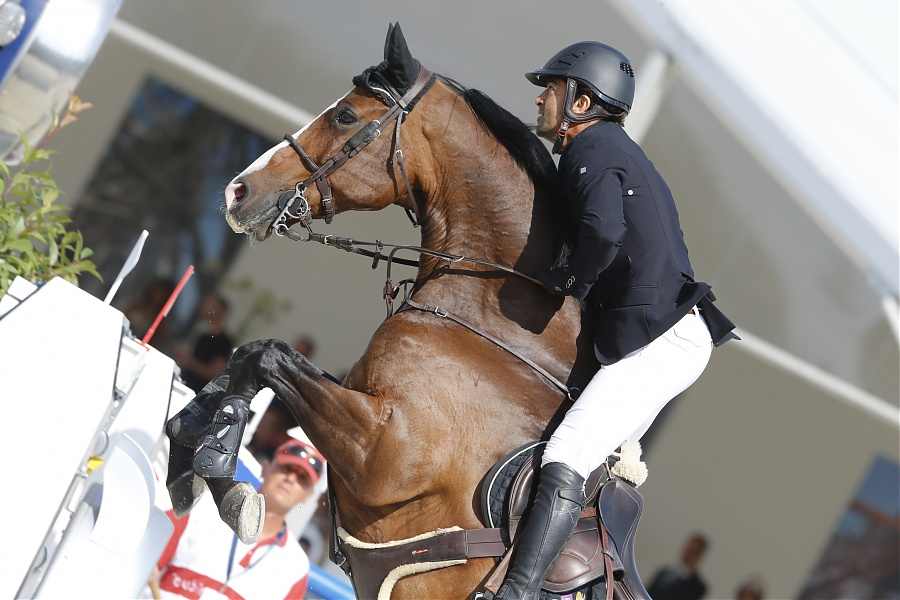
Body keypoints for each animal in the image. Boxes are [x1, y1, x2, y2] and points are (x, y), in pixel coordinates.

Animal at [200, 23, 599, 598]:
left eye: (346, 115)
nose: (238, 191)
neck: (493, 320)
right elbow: (252, 355)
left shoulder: (380, 452)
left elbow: (267, 355)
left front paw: (225, 486)